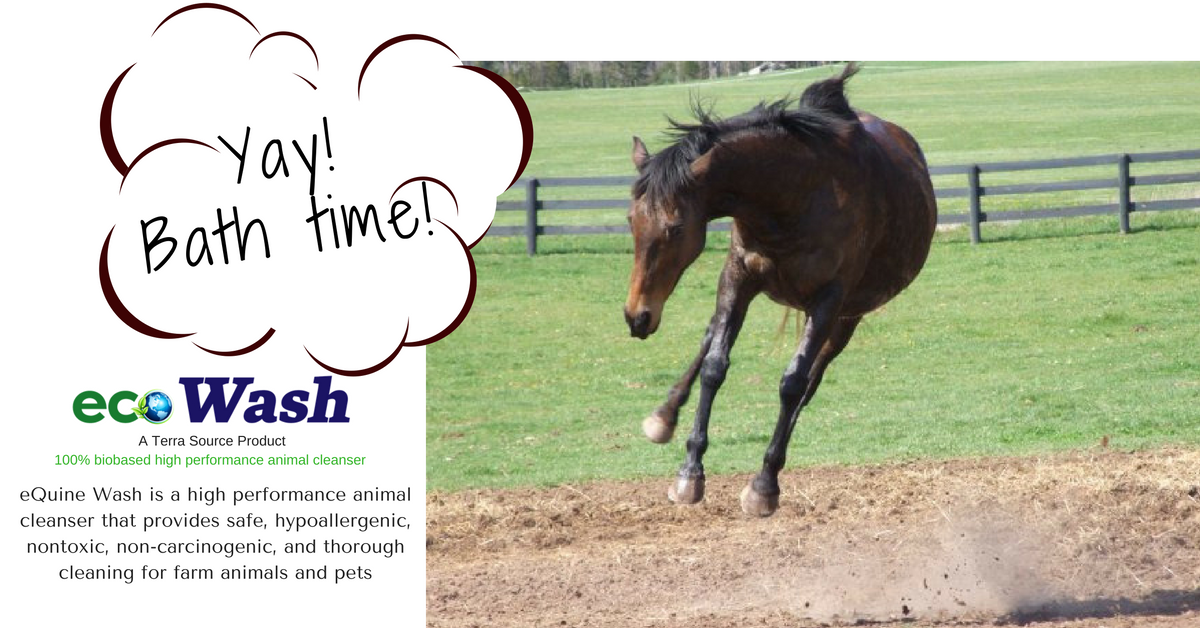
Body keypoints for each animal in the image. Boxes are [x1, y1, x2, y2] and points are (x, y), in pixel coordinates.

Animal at [623, 64, 937, 517]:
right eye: (631, 219)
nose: (637, 316)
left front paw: (763, 486)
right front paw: (690, 472)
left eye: (676, 227)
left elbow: (793, 384)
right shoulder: (737, 277)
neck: (795, 195)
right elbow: (715, 366)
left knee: (810, 382)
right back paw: (663, 416)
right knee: (709, 337)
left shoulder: (829, 300)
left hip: (847, 318)